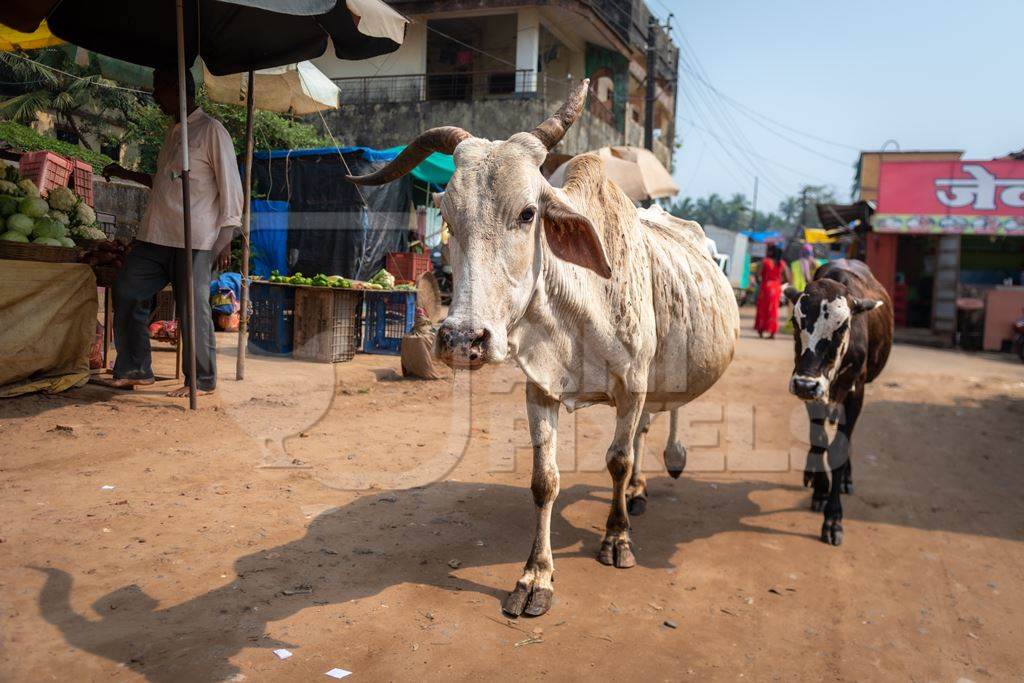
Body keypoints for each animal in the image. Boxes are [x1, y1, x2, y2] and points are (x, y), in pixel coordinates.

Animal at [348, 81, 741, 618]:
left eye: (528, 213)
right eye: (447, 215)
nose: (462, 339)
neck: (575, 311)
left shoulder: (633, 384)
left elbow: (617, 460)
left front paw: (616, 539)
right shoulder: (540, 389)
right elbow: (545, 481)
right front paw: (536, 575)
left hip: (664, 373)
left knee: (661, 419)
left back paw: (670, 460)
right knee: (643, 433)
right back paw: (639, 490)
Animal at [786, 259, 892, 548]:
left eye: (842, 326)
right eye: (795, 321)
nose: (805, 385)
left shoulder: (856, 391)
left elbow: (839, 449)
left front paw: (833, 518)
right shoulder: (812, 392)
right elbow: (819, 439)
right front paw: (821, 490)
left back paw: (846, 478)